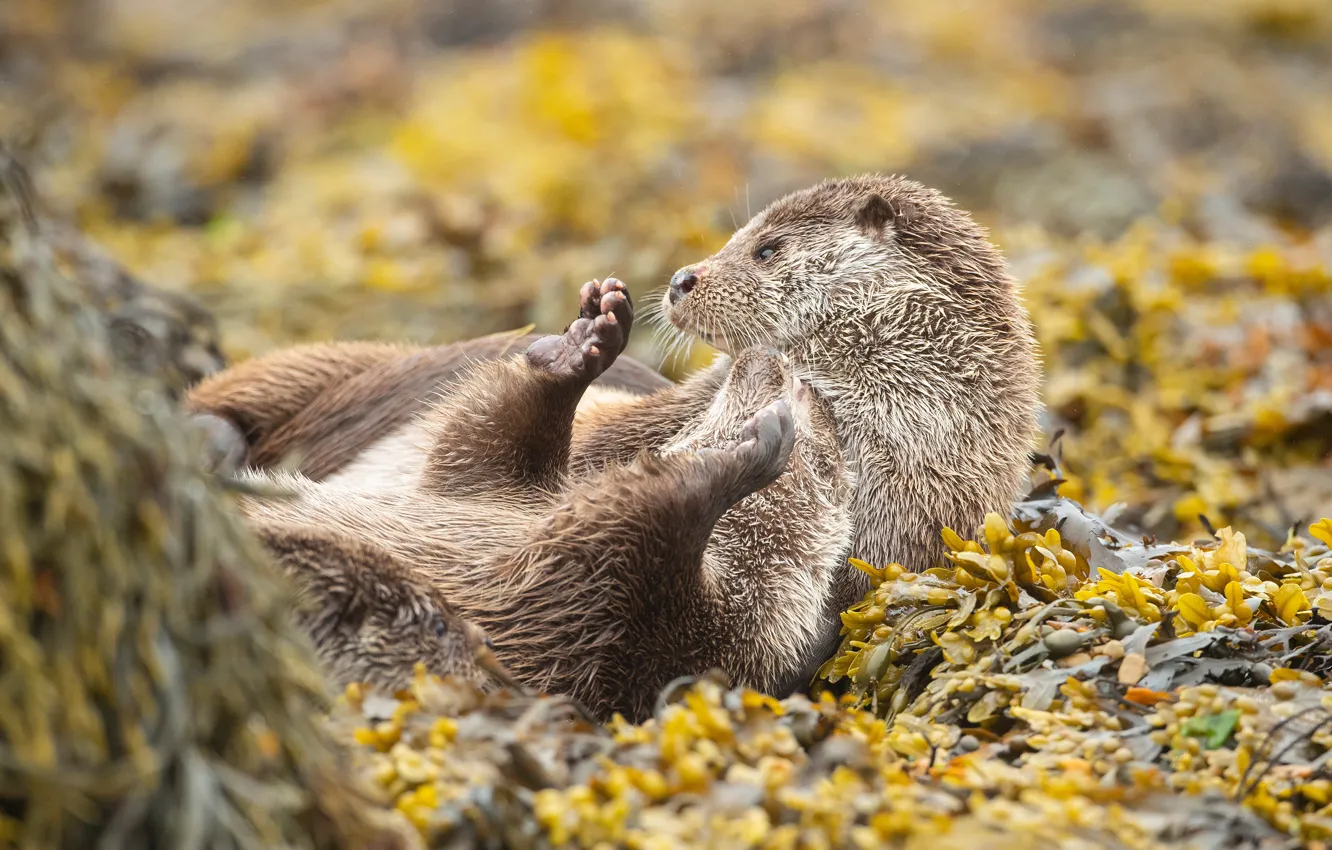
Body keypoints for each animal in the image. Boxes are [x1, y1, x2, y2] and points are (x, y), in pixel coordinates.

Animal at [232, 279, 853, 720]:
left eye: (802, 396)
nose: (768, 356)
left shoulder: (615, 627)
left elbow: (628, 529)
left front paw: (752, 453)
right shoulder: (496, 494)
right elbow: (475, 446)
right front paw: (584, 343)